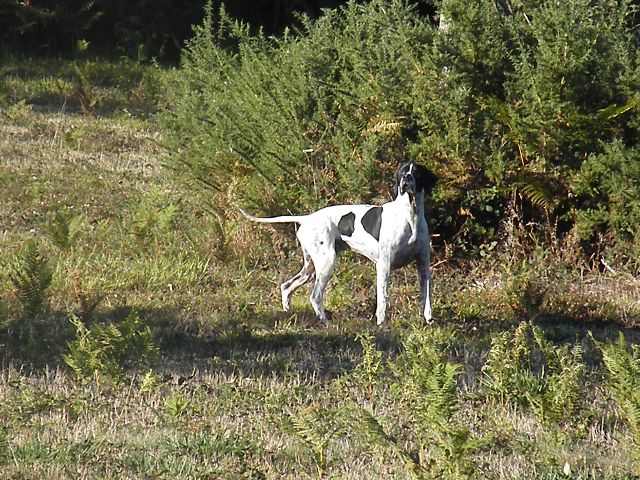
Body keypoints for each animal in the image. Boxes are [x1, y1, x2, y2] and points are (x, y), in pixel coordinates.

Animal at [241, 162, 440, 326]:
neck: (410, 215)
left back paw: (288, 313)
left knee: (286, 286)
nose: (407, 178)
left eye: (417, 172)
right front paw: (382, 324)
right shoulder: (384, 265)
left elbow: (427, 296)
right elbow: (383, 298)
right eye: (402, 172)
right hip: (326, 264)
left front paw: (429, 321)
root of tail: (307, 218)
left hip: (311, 269)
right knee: (315, 297)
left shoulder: (423, 266)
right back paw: (325, 322)